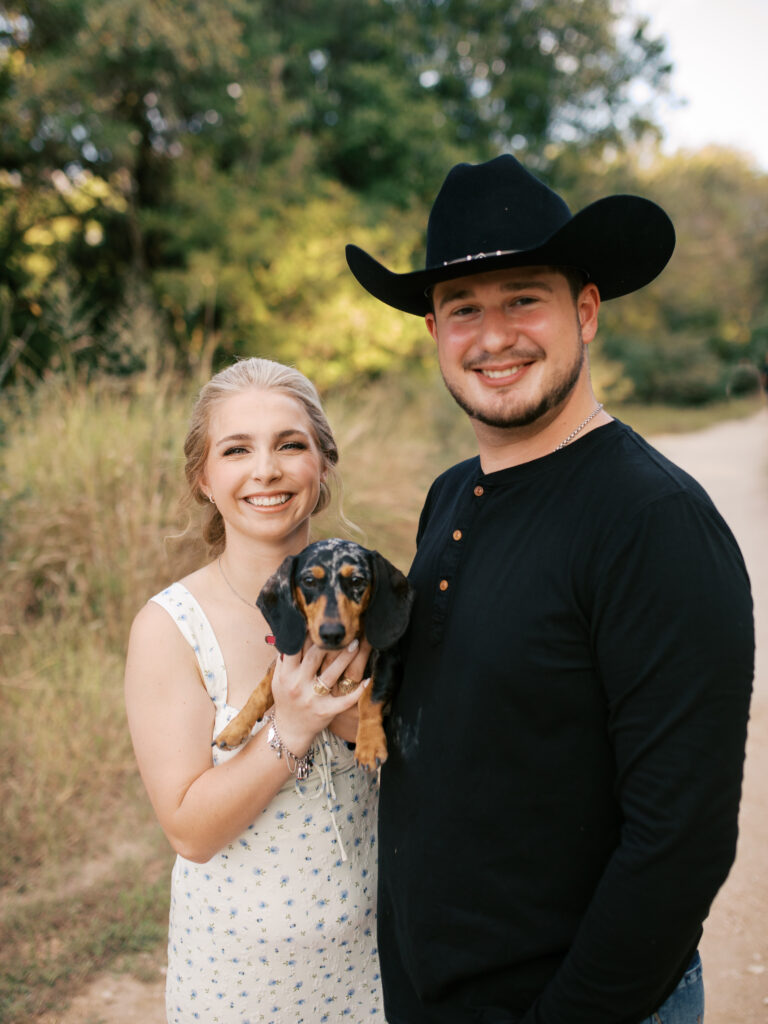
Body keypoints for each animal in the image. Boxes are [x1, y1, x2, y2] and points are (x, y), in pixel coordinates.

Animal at [210, 544, 415, 770]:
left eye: (356, 580)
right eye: (309, 581)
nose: (332, 633)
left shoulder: (388, 660)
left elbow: (370, 697)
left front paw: (369, 745)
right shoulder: (285, 658)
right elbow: (261, 690)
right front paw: (234, 728)